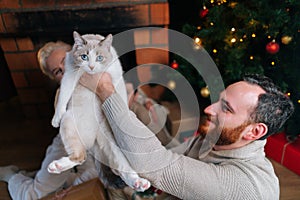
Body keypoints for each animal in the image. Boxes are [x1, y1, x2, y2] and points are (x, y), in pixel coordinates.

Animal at [49, 30, 151, 191]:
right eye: (84, 56)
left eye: (99, 58)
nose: (91, 67)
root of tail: (94, 141)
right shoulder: (70, 75)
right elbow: (62, 97)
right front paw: (55, 118)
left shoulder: (115, 75)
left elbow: (120, 95)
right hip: (68, 122)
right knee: (80, 157)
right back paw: (56, 166)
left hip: (114, 148)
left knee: (123, 169)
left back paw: (139, 183)